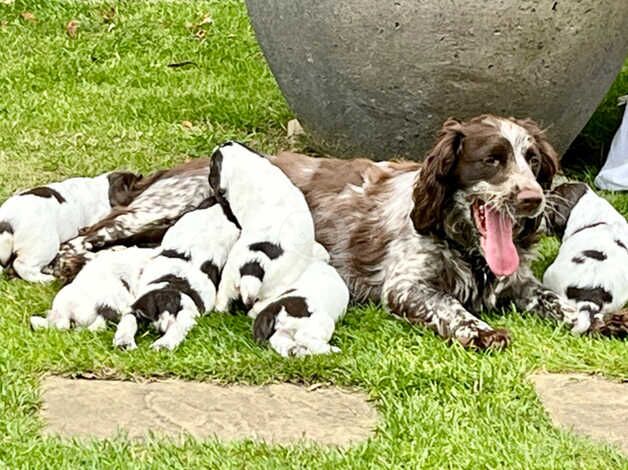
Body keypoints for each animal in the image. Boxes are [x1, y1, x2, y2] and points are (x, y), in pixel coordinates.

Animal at [210, 141, 318, 310]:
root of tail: (257, 264)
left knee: (223, 298)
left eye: (212, 165)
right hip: (278, 289)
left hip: (230, 273)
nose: (222, 143)